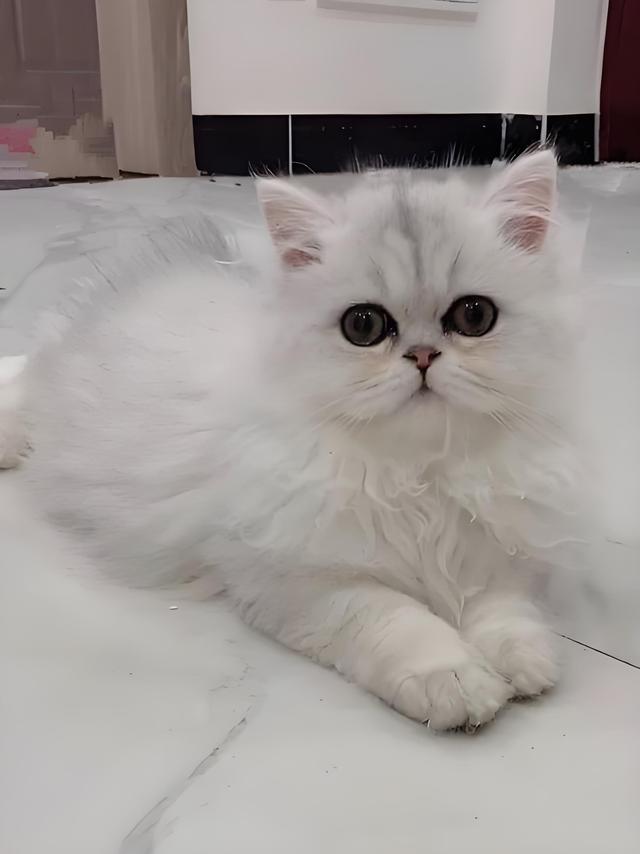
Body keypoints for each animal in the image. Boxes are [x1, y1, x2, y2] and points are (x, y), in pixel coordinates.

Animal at [7, 150, 586, 730]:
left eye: (473, 316)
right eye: (363, 327)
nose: (422, 356)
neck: (415, 472)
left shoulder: (496, 551)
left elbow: (503, 610)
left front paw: (521, 662)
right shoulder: (293, 580)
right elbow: (398, 619)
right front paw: (454, 679)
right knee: (22, 383)